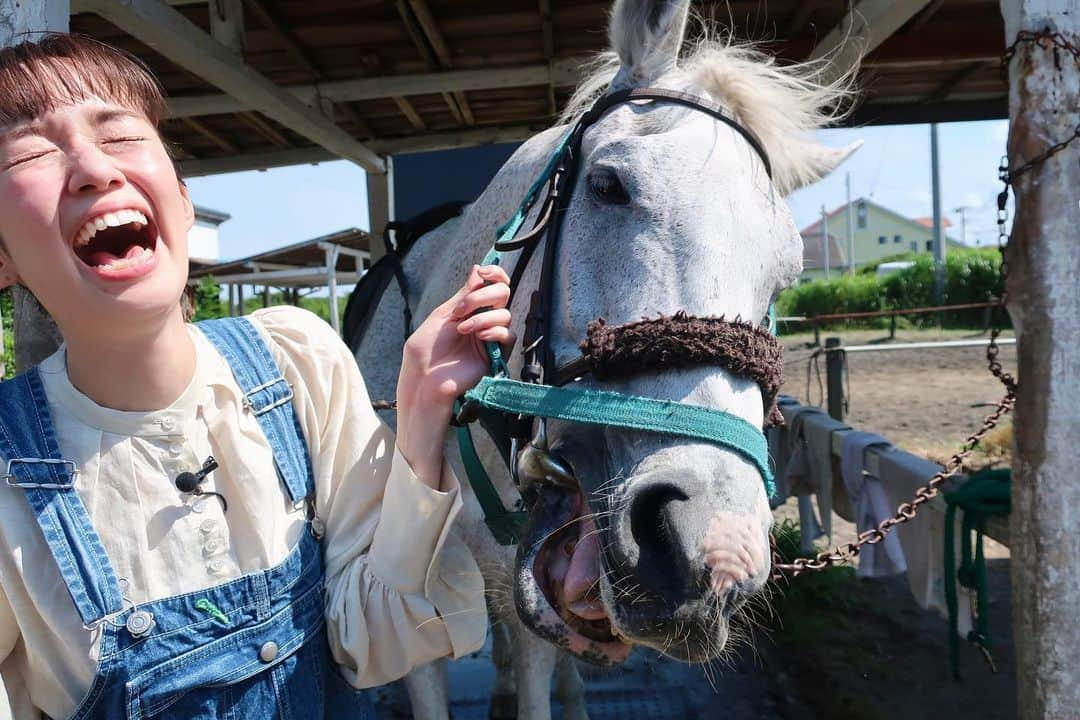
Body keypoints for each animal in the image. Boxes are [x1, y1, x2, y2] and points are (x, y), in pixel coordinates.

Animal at [354, 2, 859, 716]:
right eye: (606, 185)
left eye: (788, 272)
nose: (712, 547)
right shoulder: (408, 599)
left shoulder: (529, 607)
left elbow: (537, 666)